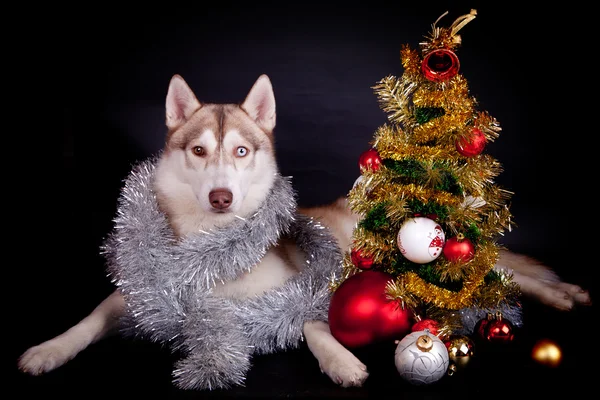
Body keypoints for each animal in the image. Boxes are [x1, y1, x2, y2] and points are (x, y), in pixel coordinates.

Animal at [16, 74, 592, 388]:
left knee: (510, 277)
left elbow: (314, 325)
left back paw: (563, 294)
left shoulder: (301, 289)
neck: (215, 254)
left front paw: (339, 360)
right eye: (198, 150)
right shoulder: (139, 294)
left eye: (241, 151)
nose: (220, 197)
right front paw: (48, 349)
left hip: (445, 260)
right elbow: (90, 318)